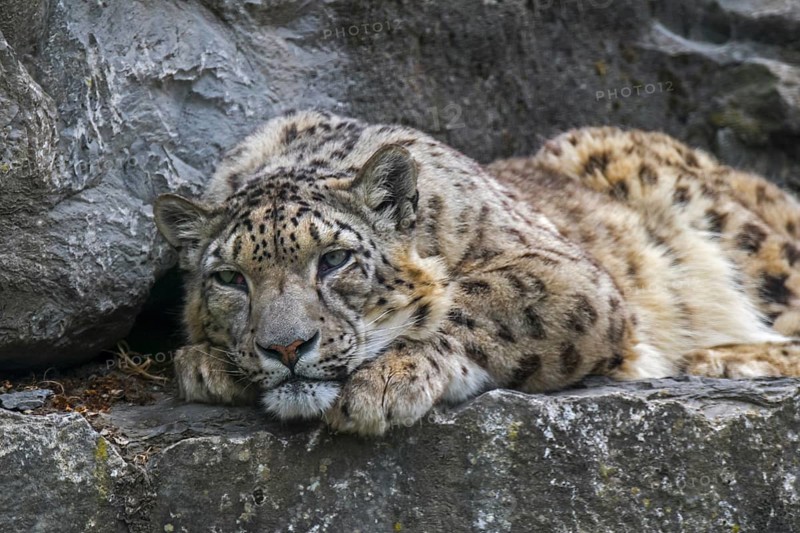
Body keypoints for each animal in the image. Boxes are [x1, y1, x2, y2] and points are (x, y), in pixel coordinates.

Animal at [154, 109, 800, 436]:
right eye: (230, 278)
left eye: (334, 259)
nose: (286, 347)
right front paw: (204, 363)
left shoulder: (574, 278)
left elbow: (479, 297)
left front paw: (388, 381)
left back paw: (724, 356)